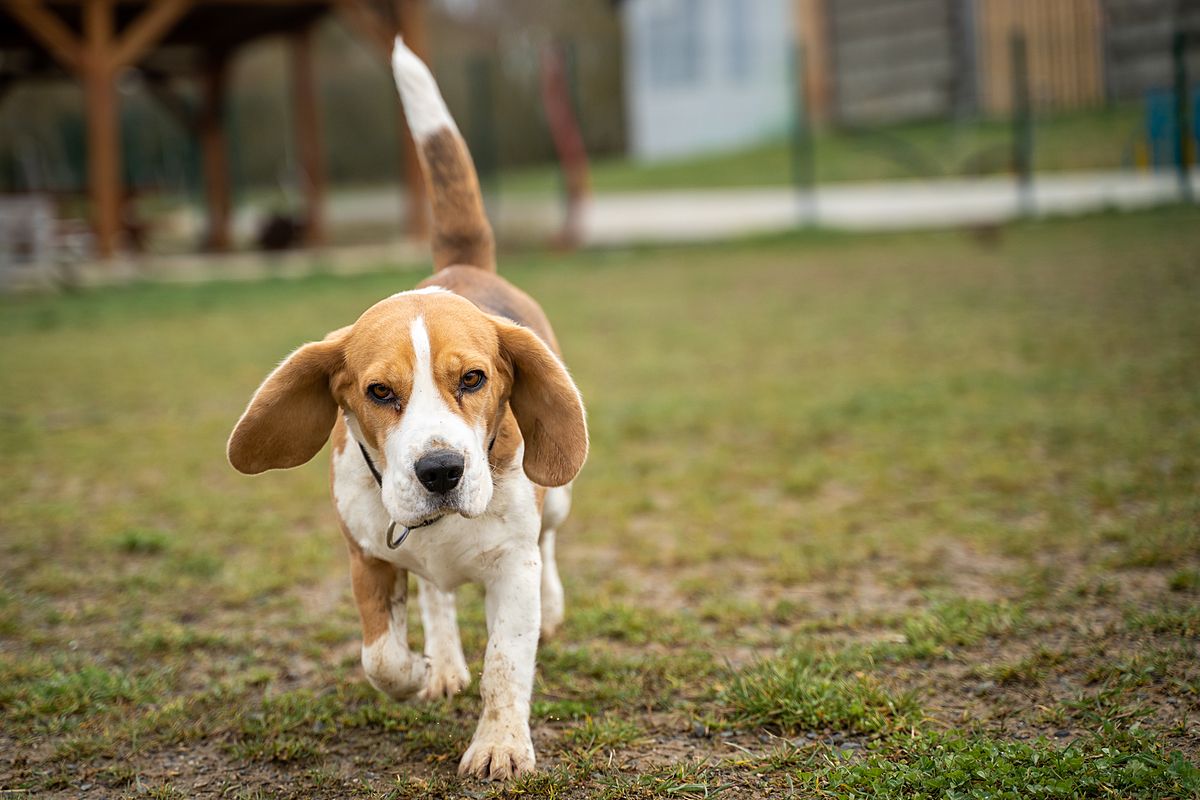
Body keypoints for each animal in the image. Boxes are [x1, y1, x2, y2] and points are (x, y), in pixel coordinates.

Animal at [226, 38, 588, 782]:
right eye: (379, 393)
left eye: (474, 379)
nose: (441, 471)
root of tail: (462, 268)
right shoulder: (367, 557)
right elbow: (380, 657)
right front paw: (420, 671)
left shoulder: (512, 570)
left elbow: (506, 663)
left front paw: (500, 745)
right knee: (436, 596)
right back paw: (443, 660)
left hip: (559, 498)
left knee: (550, 542)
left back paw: (551, 608)